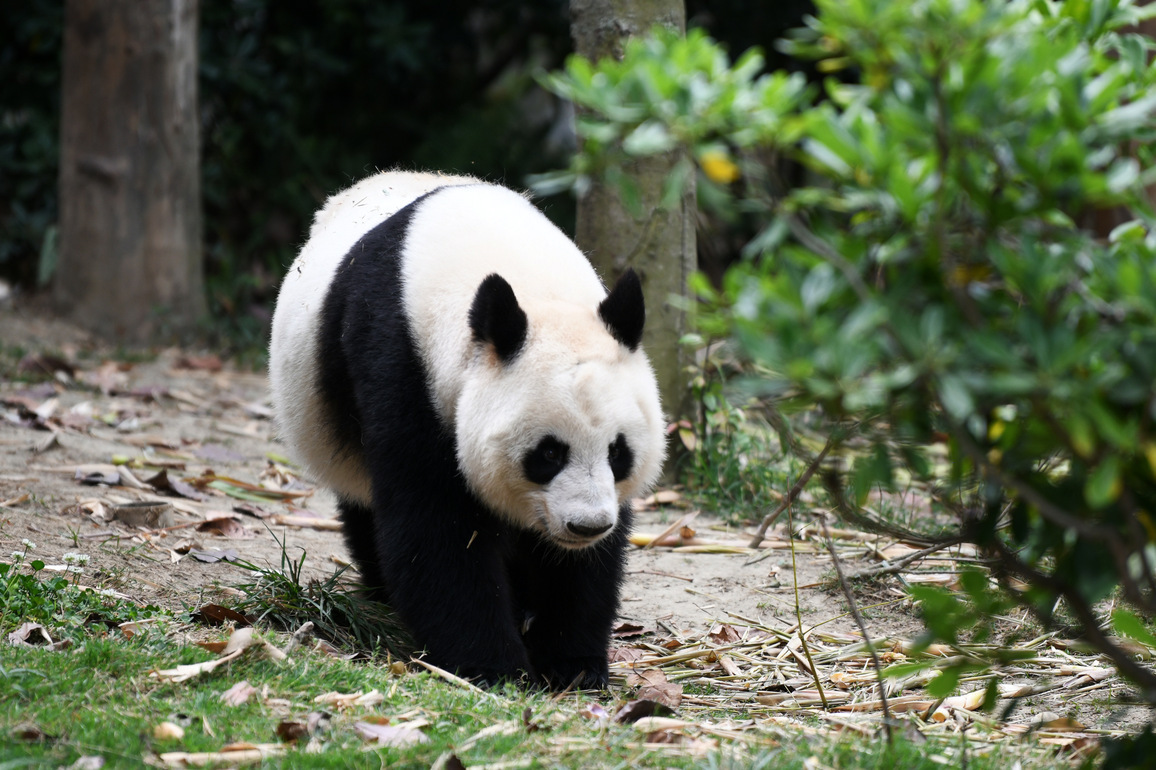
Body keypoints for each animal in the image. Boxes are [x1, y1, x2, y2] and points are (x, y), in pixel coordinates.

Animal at [269, 171, 665, 688]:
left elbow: (586, 563)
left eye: (618, 452)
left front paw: (572, 662)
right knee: (365, 506)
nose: (586, 525)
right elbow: (435, 524)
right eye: (549, 454)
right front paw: (493, 667)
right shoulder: (398, 360)